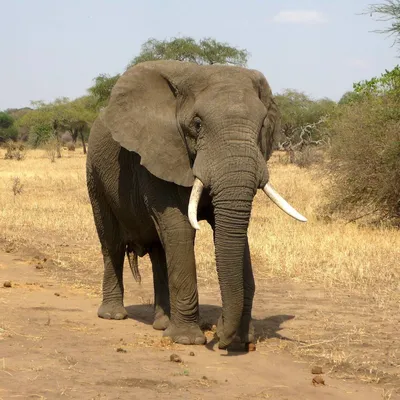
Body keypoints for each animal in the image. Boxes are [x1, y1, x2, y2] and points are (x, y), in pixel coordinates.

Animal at [86, 60, 306, 350]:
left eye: (261, 126)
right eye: (197, 124)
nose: (220, 335)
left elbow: (230, 232)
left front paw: (240, 339)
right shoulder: (159, 153)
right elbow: (180, 228)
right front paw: (187, 340)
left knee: (159, 250)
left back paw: (162, 324)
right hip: (94, 173)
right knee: (111, 242)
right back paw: (113, 315)